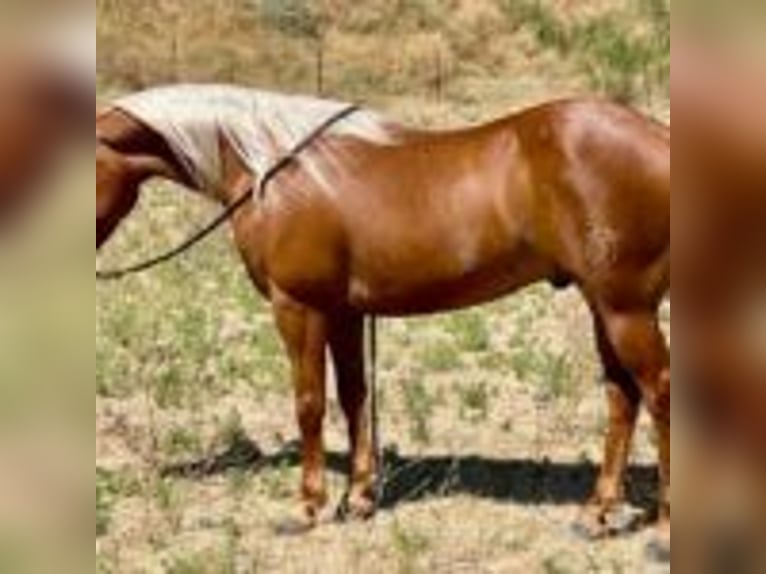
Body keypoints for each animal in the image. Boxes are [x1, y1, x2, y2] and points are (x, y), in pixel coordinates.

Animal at [97, 85, 672, 548]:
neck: (273, 171)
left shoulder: (298, 307)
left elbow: (309, 403)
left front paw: (308, 507)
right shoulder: (344, 312)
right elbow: (355, 397)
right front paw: (358, 498)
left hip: (625, 308)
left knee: (658, 391)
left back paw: (663, 525)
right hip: (603, 304)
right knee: (622, 397)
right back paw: (597, 513)